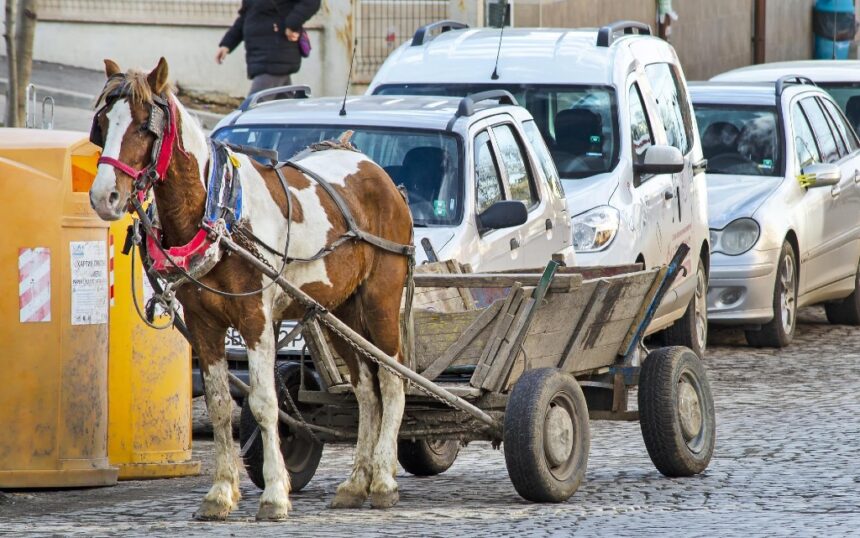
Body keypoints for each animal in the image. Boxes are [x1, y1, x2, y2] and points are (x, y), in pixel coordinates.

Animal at [89, 57, 412, 520]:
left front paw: (275, 495)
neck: (220, 212)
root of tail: (376, 170)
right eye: (101, 124)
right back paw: (356, 483)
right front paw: (221, 492)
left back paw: (384, 479)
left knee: (392, 380)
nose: (104, 197)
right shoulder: (204, 324)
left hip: (381, 300)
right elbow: (221, 404)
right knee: (366, 391)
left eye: (143, 128)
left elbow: (262, 403)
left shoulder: (256, 320)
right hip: (340, 311)